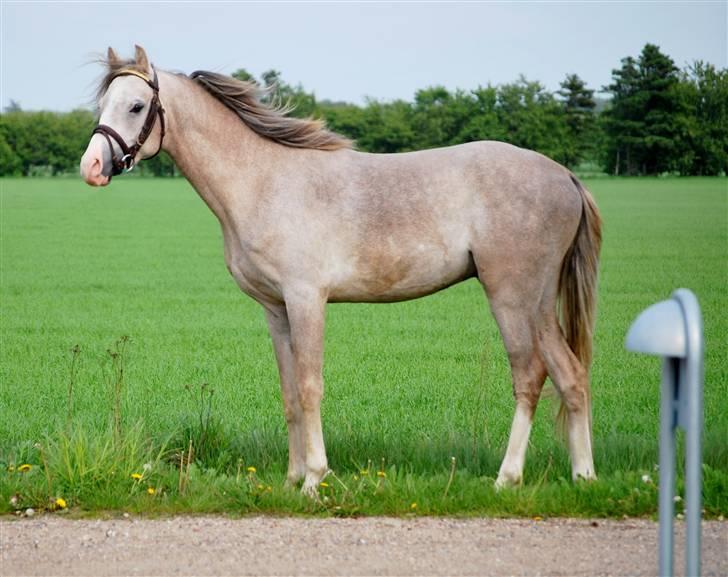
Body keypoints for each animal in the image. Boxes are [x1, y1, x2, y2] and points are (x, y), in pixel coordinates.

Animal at [79, 46, 604, 496]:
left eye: (136, 105)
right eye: (103, 103)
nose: (92, 167)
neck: (263, 180)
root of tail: (565, 175)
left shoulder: (306, 299)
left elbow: (310, 387)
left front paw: (315, 479)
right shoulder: (276, 309)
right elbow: (290, 392)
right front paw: (292, 479)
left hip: (510, 296)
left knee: (529, 376)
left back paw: (507, 478)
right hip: (538, 303)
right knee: (570, 374)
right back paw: (584, 477)